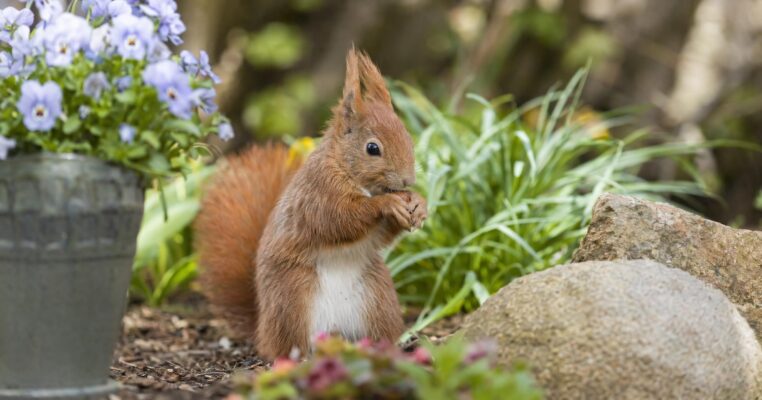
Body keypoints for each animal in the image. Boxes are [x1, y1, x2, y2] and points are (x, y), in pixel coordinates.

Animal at [194, 49, 427, 360]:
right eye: (372, 148)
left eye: (408, 137)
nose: (407, 180)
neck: (345, 169)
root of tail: (262, 331)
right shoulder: (319, 196)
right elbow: (341, 220)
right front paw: (388, 203)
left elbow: (381, 234)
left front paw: (419, 205)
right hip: (293, 297)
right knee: (289, 345)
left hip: (378, 298)